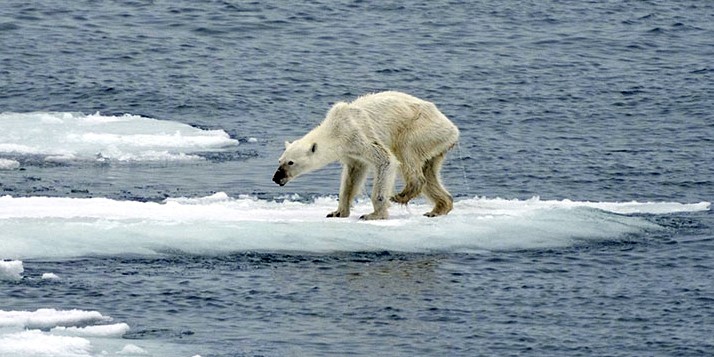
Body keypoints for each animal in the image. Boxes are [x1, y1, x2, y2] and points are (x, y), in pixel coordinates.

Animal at [270, 90, 458, 218]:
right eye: (280, 160)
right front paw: (337, 212)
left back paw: (402, 195)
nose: (276, 177)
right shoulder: (350, 152)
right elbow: (352, 176)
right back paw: (438, 208)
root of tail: (453, 128)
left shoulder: (358, 134)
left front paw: (373, 215)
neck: (335, 128)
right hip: (435, 143)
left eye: (290, 162)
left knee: (406, 152)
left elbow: (386, 160)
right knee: (429, 171)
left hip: (421, 129)